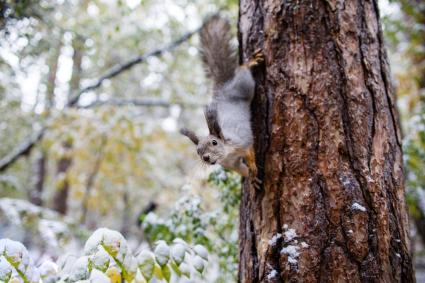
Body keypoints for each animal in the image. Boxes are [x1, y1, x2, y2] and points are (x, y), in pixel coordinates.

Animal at [179, 15, 262, 189]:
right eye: (197, 151)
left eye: (214, 142)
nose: (206, 158)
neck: (227, 154)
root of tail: (223, 85)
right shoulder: (231, 164)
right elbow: (241, 170)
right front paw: (251, 178)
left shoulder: (241, 140)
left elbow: (250, 151)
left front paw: (252, 166)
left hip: (245, 85)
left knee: (243, 71)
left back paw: (249, 62)